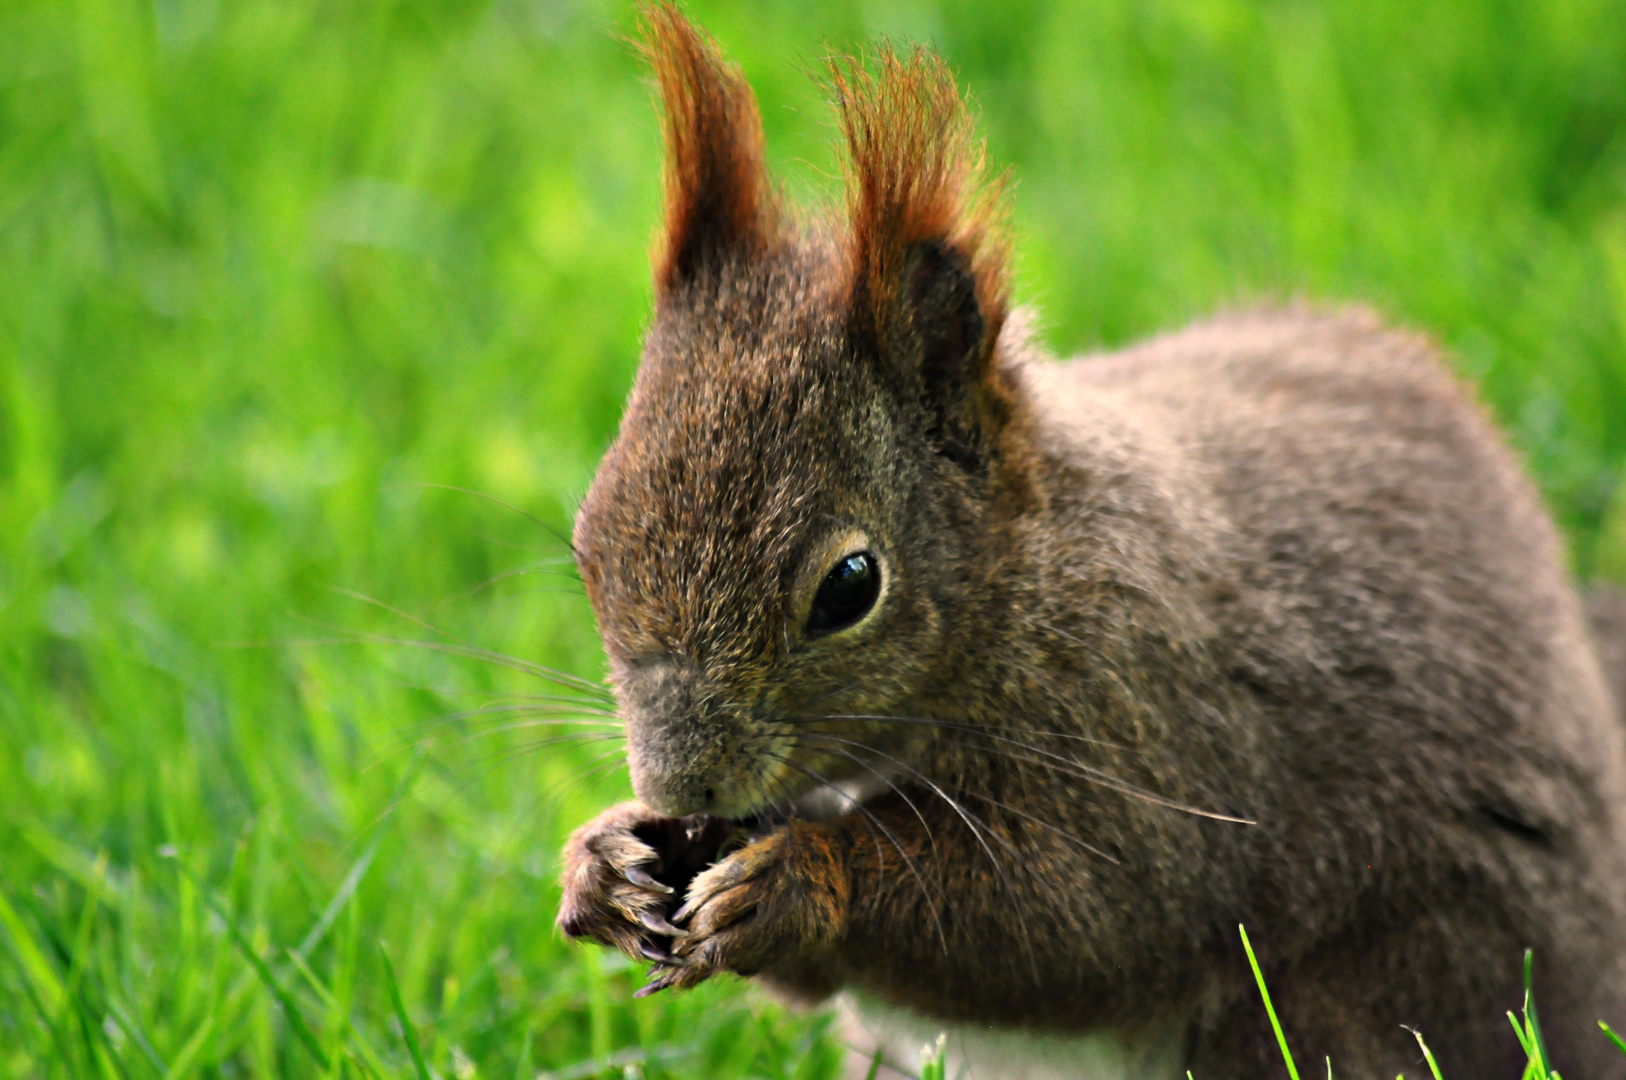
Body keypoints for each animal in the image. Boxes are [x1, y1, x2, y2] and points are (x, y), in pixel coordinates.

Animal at [556, 4, 1626, 1073]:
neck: (1023, 575)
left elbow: (1083, 914)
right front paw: (600, 861)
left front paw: (802, 880)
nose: (678, 782)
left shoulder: (1151, 708)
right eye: (585, 544)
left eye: (850, 585)